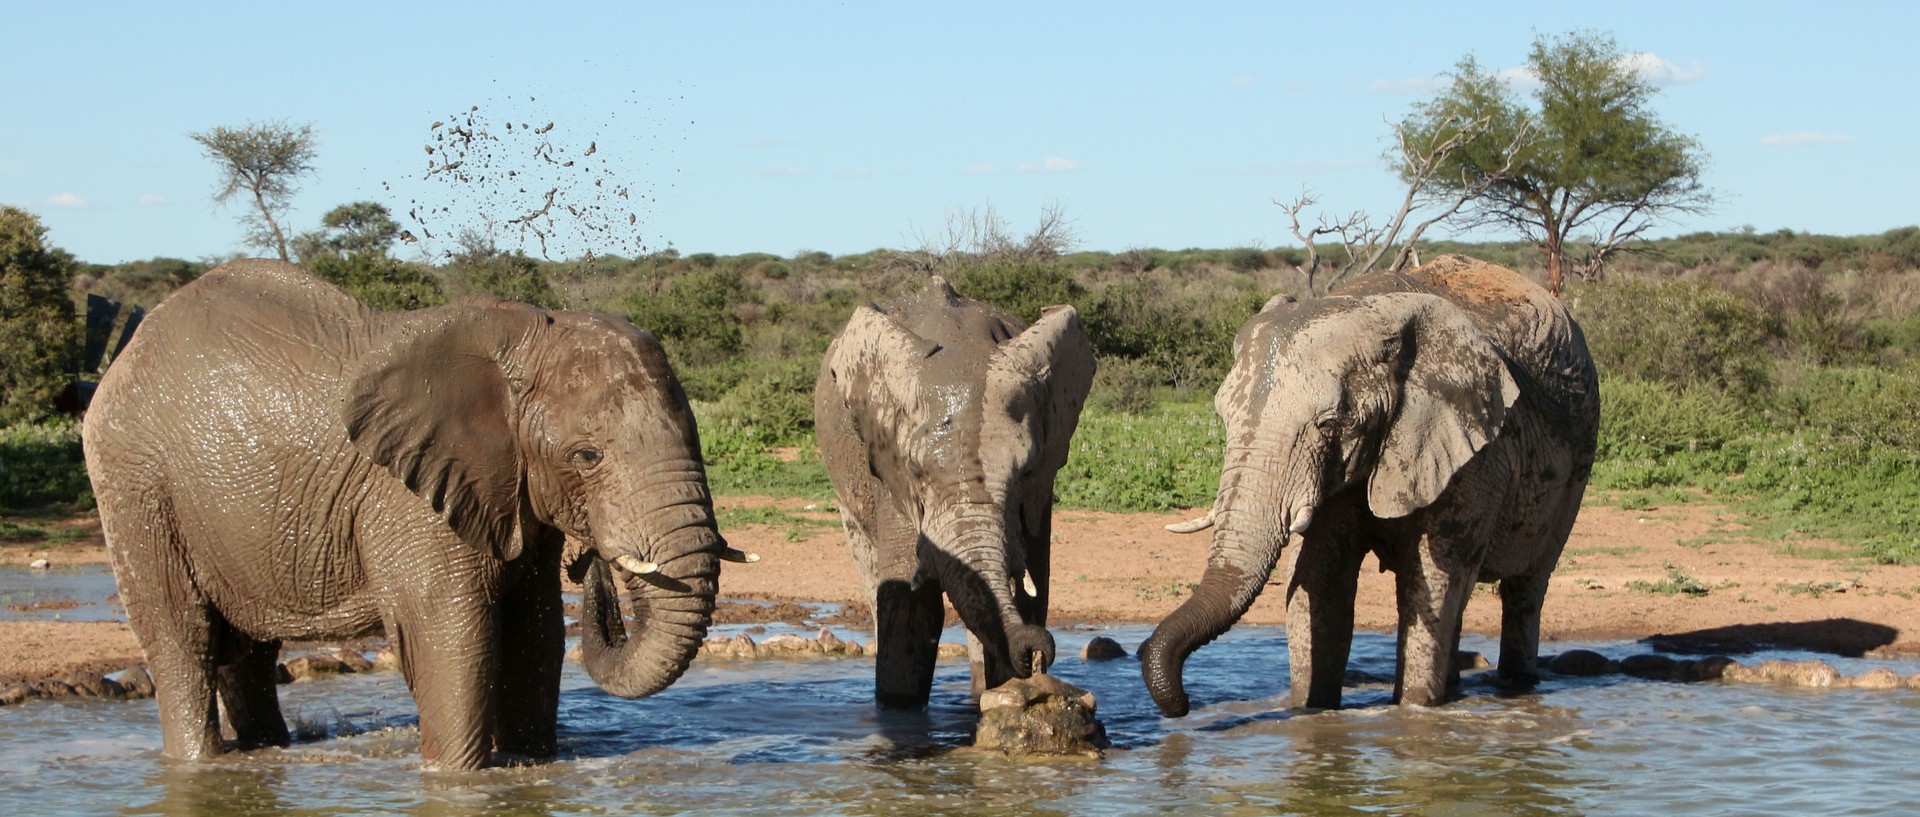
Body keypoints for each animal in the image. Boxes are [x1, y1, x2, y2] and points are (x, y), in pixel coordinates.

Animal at [82, 258, 744, 770]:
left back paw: (267, 752)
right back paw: (199, 762)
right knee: (183, 639)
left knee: (247, 654)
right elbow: (451, 638)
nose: (594, 566)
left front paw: (530, 764)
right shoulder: (409, 502)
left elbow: (536, 636)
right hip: (135, 486)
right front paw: (457, 777)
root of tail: (131, 350)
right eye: (586, 456)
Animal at [814, 276, 1098, 709]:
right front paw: (897, 710)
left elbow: (1034, 591)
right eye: (916, 470)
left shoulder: (1041, 487)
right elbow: (912, 602)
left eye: (1026, 469)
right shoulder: (887, 465)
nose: (1039, 652)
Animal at [1128, 255, 1597, 713]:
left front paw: (1413, 714)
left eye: (1330, 423)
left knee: (1525, 587)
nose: (1185, 703)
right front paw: (1311, 712)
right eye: (1223, 416)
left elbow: (1431, 580)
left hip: (1577, 466)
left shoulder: (1478, 453)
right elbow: (1319, 582)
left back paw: (1517, 686)